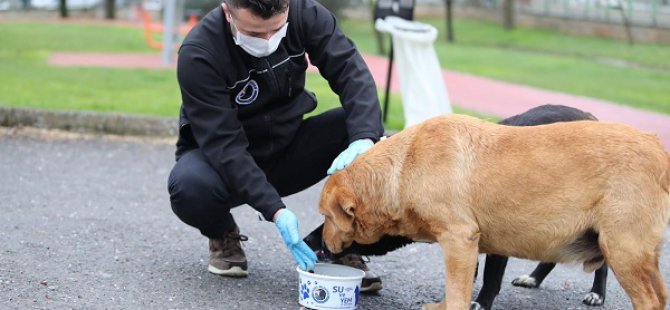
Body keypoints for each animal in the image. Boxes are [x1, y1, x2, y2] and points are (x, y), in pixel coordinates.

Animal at [320, 114, 670, 310]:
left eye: (325, 217)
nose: (322, 245)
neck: (405, 165)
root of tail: (659, 148)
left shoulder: (460, 239)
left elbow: (459, 293)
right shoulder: (467, 248)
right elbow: (458, 286)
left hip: (622, 248)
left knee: (646, 299)